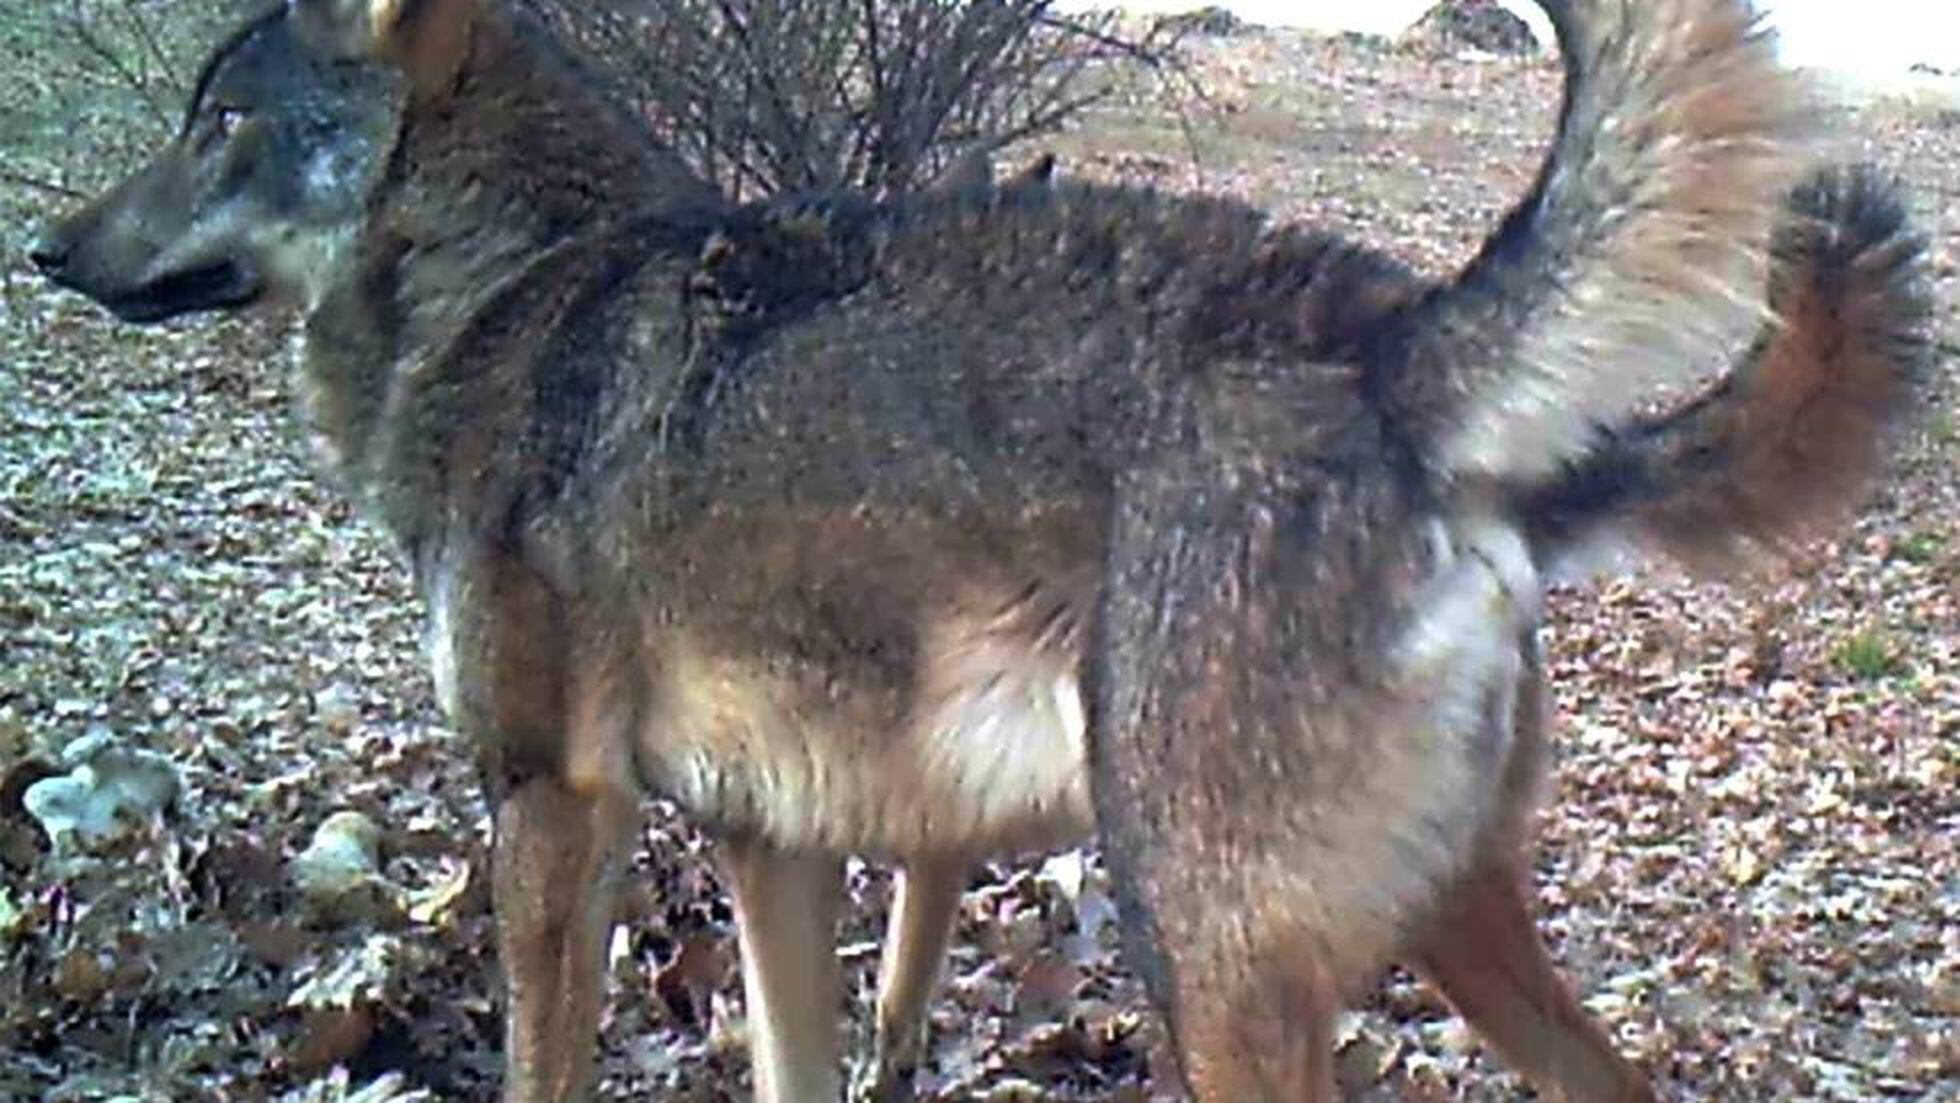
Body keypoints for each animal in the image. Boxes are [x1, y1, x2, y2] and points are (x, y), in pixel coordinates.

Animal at [30, 2, 1920, 1103]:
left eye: (219, 119)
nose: (47, 248)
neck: (514, 287)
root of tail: (1391, 346)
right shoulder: (770, 847)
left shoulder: (551, 809)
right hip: (1439, 925)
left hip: (1205, 958)